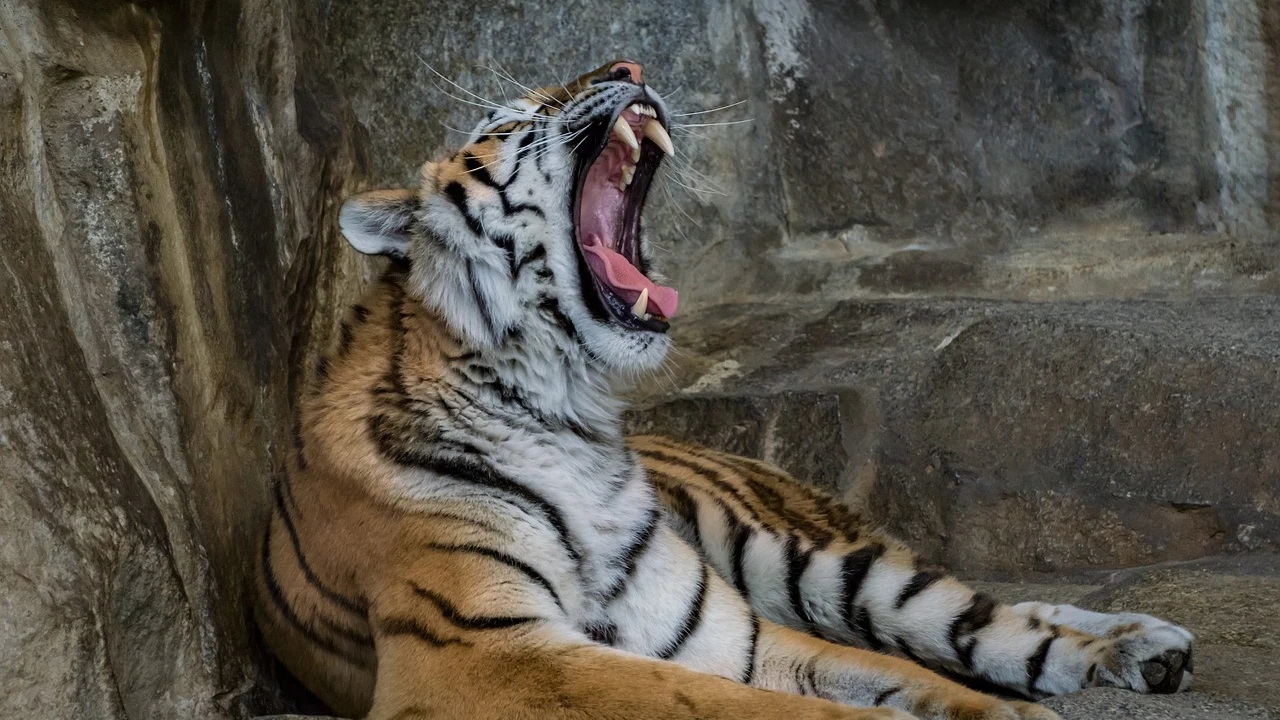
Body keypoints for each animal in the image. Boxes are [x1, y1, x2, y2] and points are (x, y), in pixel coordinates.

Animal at [254, 60, 1195, 720]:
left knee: (982, 617)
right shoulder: (484, 652)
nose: (629, 66)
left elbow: (902, 675)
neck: (568, 412)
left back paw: (1139, 646)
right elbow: (743, 705)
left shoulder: (722, 633)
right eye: (514, 119)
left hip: (811, 561)